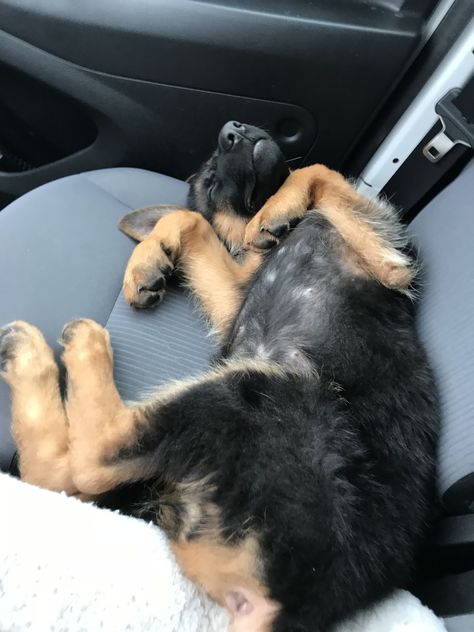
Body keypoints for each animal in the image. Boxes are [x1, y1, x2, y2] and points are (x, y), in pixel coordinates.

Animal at [0, 123, 436, 632]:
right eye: (212, 184)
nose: (233, 129)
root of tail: (290, 609)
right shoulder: (245, 292)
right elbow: (196, 221)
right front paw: (150, 260)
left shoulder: (389, 262)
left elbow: (312, 171)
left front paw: (273, 210)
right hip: (265, 391)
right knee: (86, 463)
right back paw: (57, 349)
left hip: (265, 390)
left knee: (77, 469)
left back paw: (49, 350)